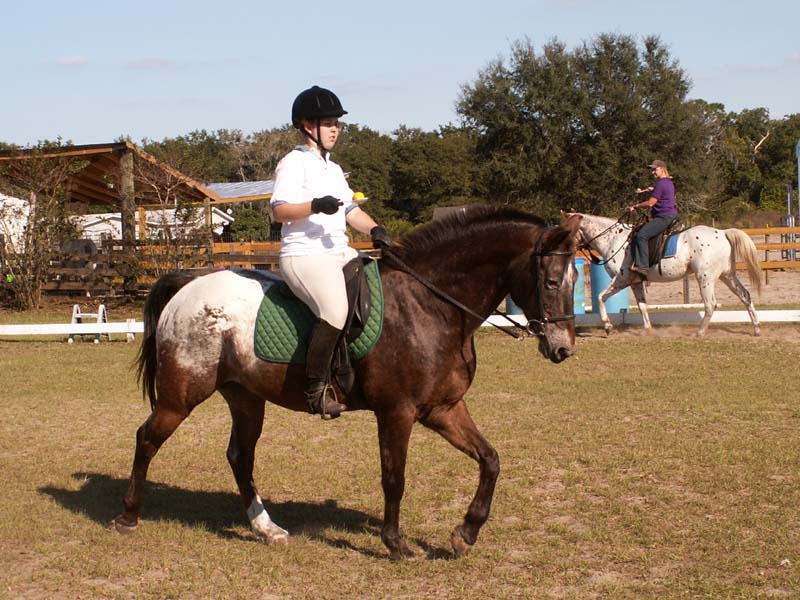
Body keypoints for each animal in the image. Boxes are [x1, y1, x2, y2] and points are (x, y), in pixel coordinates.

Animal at [115, 206, 582, 560]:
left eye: (577, 279)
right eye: (552, 281)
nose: (563, 349)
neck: (431, 304)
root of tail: (189, 284)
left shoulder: (443, 409)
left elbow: (491, 460)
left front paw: (465, 534)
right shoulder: (397, 412)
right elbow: (394, 477)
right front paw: (396, 545)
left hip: (246, 397)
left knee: (239, 457)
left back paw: (266, 528)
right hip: (180, 397)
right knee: (146, 439)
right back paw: (128, 516)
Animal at [562, 210, 762, 336]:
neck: (613, 239)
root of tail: (722, 233)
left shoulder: (621, 279)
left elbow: (600, 297)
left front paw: (607, 326)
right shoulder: (636, 282)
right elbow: (642, 306)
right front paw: (647, 329)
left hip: (705, 278)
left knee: (710, 304)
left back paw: (700, 332)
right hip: (727, 276)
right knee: (745, 295)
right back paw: (756, 329)